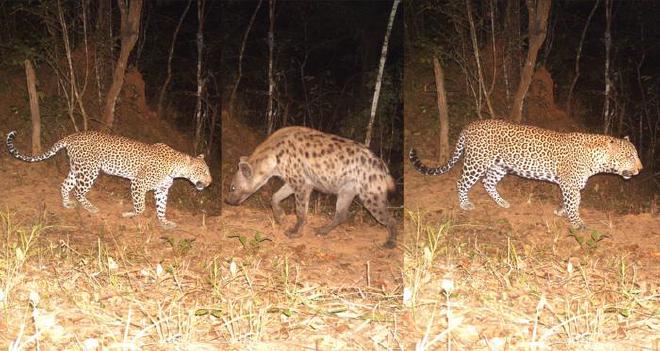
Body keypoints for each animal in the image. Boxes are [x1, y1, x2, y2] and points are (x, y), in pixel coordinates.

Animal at [5, 131, 211, 230]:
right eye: (202, 171)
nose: (210, 183)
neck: (175, 169)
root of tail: (71, 136)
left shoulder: (161, 190)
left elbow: (161, 208)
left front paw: (165, 222)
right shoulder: (138, 184)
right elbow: (141, 206)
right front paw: (131, 214)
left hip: (78, 168)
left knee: (65, 185)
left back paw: (66, 204)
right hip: (89, 171)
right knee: (79, 191)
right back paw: (90, 207)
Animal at [226, 126, 398, 248]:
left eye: (232, 187)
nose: (227, 201)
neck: (273, 158)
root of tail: (382, 166)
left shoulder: (301, 183)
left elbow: (300, 211)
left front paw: (294, 232)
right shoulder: (295, 180)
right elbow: (275, 197)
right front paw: (280, 216)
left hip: (370, 193)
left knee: (389, 218)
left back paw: (390, 243)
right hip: (347, 189)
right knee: (341, 213)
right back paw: (322, 231)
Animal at [410, 119, 640, 228]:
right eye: (629, 156)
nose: (640, 169)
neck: (597, 160)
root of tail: (470, 125)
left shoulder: (574, 185)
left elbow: (574, 201)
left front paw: (561, 212)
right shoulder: (569, 184)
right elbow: (574, 203)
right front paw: (577, 222)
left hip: (499, 166)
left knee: (488, 183)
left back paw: (502, 203)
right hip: (477, 161)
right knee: (462, 182)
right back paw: (465, 204)